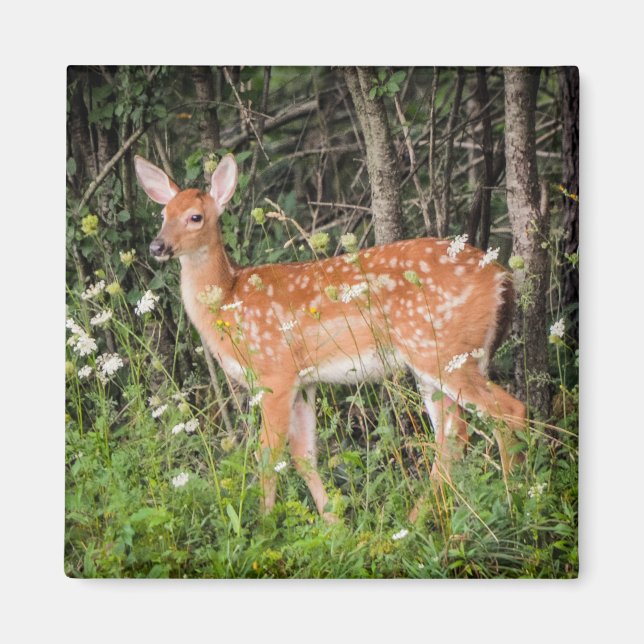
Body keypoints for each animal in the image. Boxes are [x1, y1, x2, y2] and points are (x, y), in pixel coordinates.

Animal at [134, 153, 526, 523]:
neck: (229, 301)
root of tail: (502, 277)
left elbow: (268, 455)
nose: (157, 246)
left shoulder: (275, 372)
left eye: (195, 217)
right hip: (436, 362)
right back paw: (419, 521)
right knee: (453, 437)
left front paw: (265, 524)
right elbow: (304, 455)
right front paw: (335, 523)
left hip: (444, 349)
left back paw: (516, 503)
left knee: (506, 412)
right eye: (163, 213)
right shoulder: (304, 381)